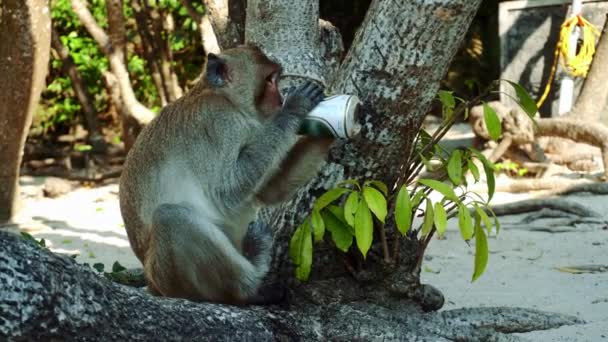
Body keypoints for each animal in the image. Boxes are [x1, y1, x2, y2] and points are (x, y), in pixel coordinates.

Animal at [116, 45, 330, 304]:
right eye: (270, 81)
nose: (280, 100)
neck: (230, 101)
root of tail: (152, 285)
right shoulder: (219, 122)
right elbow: (226, 191)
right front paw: (294, 108)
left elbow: (267, 192)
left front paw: (330, 132)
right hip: (172, 280)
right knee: (171, 217)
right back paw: (250, 286)